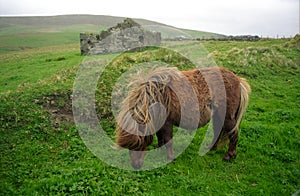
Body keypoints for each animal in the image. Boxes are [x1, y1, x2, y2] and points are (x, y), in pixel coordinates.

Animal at [115, 66, 251, 169]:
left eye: (139, 144)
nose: (135, 166)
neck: (157, 95)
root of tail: (238, 80)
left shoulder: (167, 123)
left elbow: (168, 140)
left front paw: (170, 158)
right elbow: (160, 137)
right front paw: (159, 150)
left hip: (228, 117)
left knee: (233, 134)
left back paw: (229, 155)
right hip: (218, 116)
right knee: (218, 131)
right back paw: (211, 148)